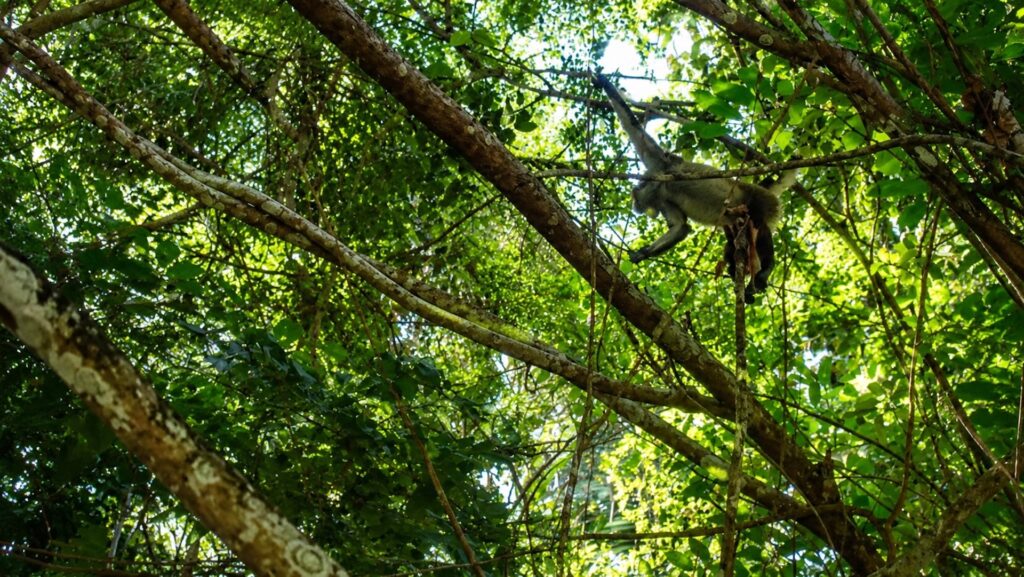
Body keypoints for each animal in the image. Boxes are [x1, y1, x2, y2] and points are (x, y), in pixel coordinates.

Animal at [592, 72, 796, 303]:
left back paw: (766, 270)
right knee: (733, 244)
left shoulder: (662, 164)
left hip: (762, 202)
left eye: (635, 199)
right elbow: (681, 227)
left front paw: (603, 82)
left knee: (759, 224)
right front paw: (642, 254)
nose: (634, 206)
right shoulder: (663, 199)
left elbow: (633, 126)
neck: (660, 187)